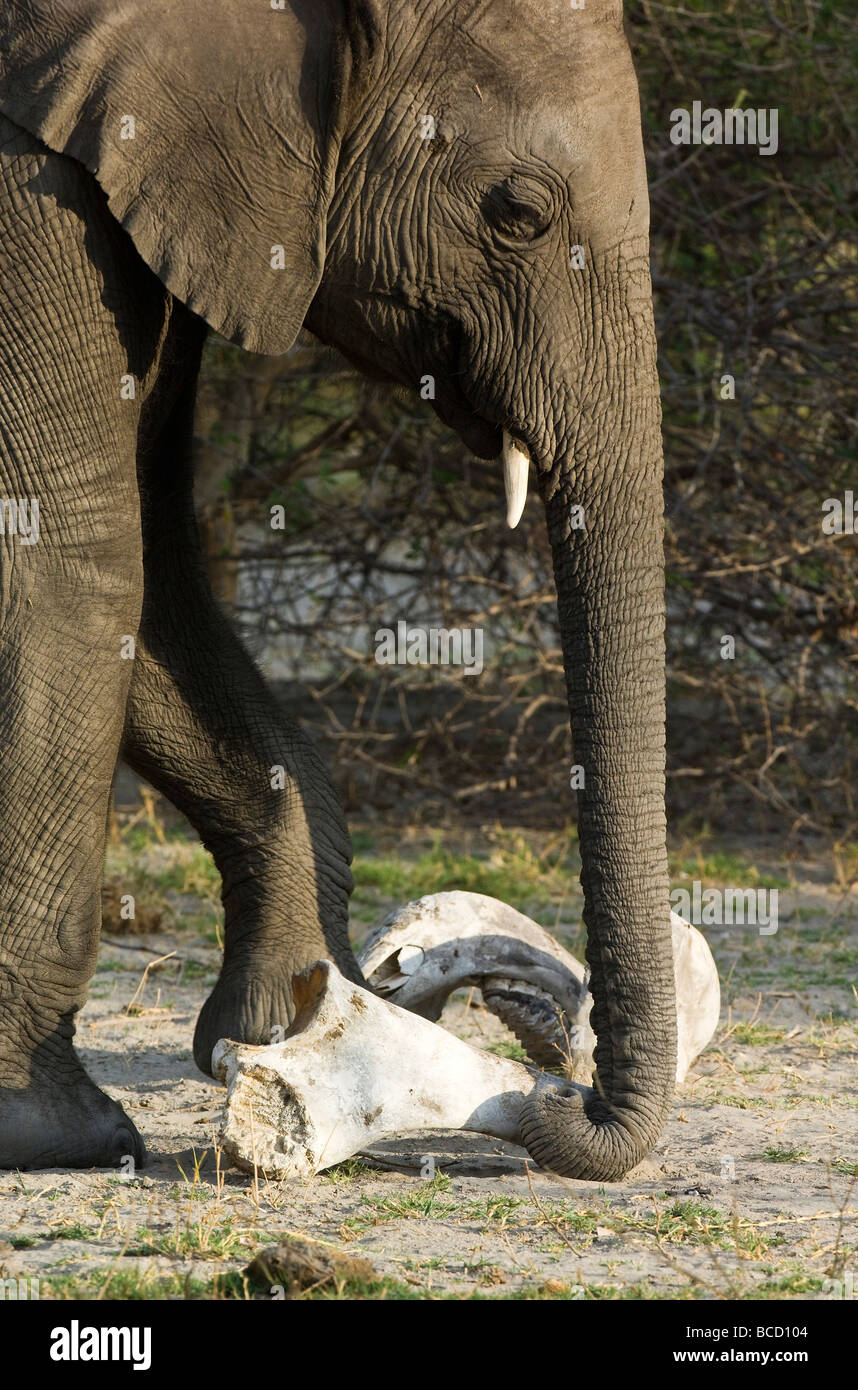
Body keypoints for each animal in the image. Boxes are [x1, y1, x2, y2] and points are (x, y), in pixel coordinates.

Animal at [0, 0, 674, 1178]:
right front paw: (56, 1132)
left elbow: (155, 554)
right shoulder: (29, 179)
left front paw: (285, 1019)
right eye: (519, 213)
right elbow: (72, 541)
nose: (564, 1090)